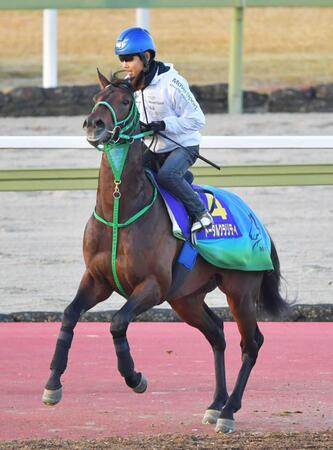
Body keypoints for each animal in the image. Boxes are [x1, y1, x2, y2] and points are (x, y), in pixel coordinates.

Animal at [41, 69, 286, 432]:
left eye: (125, 101)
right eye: (96, 97)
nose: (93, 124)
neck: (120, 208)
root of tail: (258, 222)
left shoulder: (153, 287)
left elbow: (118, 322)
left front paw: (135, 377)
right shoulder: (97, 280)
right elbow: (69, 315)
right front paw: (53, 384)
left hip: (240, 290)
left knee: (251, 343)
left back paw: (229, 411)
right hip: (186, 298)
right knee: (217, 333)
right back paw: (215, 404)